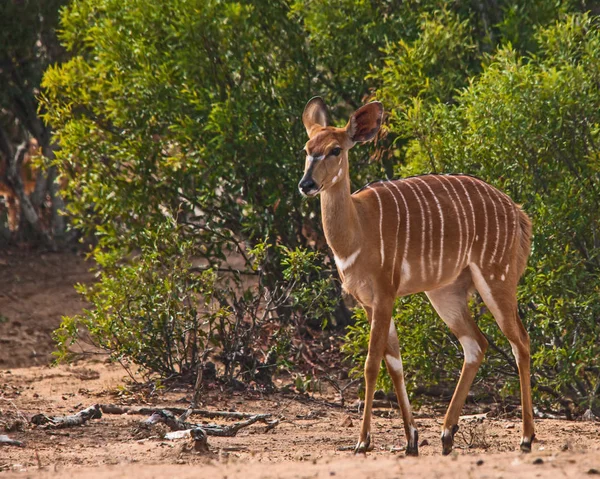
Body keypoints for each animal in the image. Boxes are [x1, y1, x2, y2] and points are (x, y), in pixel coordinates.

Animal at [298, 97, 536, 458]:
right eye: (307, 148)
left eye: (335, 150)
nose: (306, 185)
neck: (359, 228)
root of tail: (520, 215)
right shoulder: (367, 301)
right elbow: (394, 362)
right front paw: (411, 440)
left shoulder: (385, 292)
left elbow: (371, 363)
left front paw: (362, 442)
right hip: (444, 293)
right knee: (476, 344)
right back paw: (447, 434)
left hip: (497, 279)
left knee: (519, 341)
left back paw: (525, 438)